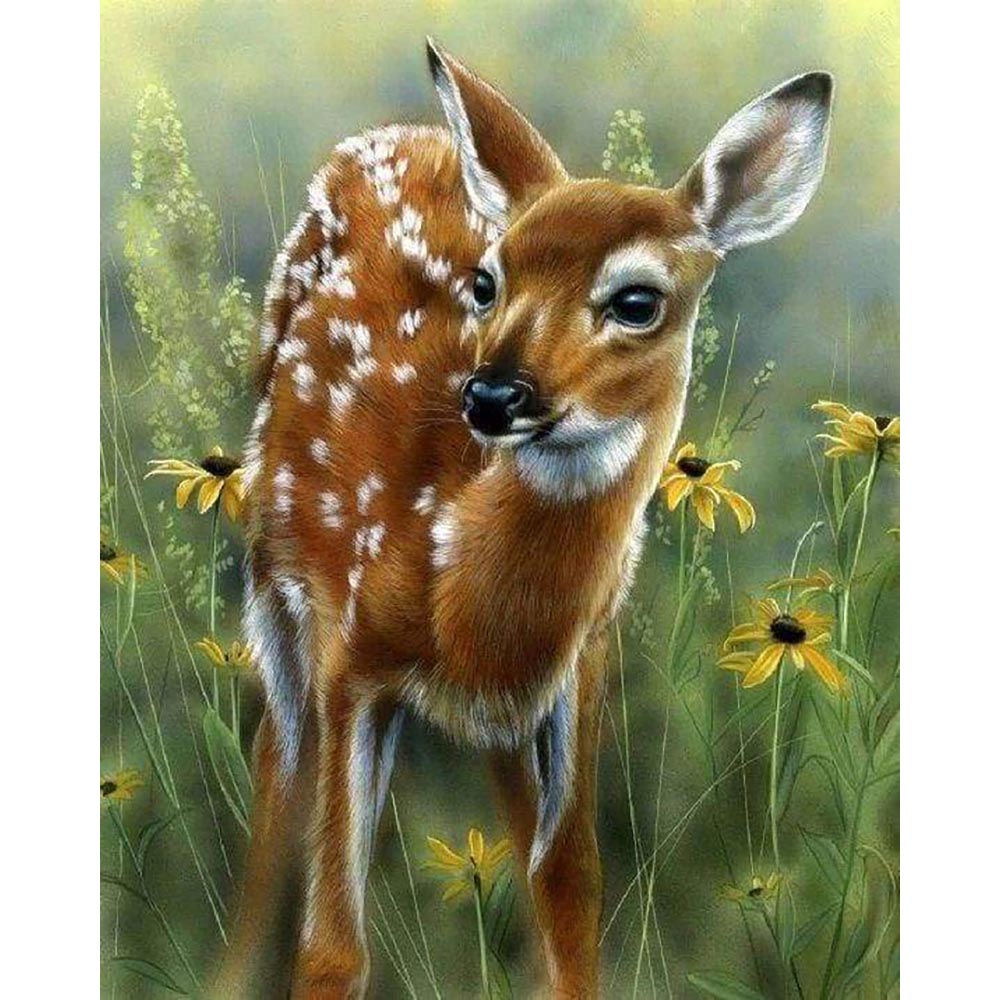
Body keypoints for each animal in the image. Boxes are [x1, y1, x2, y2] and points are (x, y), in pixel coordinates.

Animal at [220, 38, 833, 999]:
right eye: (487, 282)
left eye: (637, 301)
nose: (492, 395)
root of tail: (401, 130)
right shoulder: (350, 649)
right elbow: (331, 945)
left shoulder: (579, 663)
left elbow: (571, 887)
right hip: (272, 567)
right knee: (276, 762)